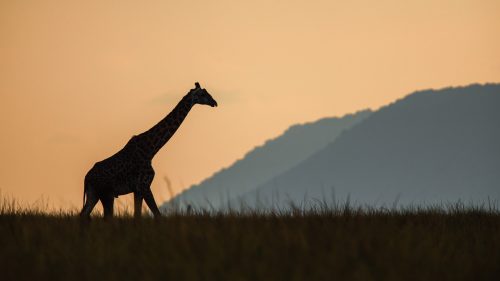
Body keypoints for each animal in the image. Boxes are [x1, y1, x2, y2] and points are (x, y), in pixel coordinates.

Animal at [80, 82, 217, 218]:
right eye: (203, 94)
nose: (214, 102)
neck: (151, 150)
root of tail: (86, 178)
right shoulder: (144, 186)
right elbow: (156, 214)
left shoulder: (138, 190)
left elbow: (139, 215)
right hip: (106, 195)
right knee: (105, 216)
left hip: (94, 194)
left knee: (83, 214)